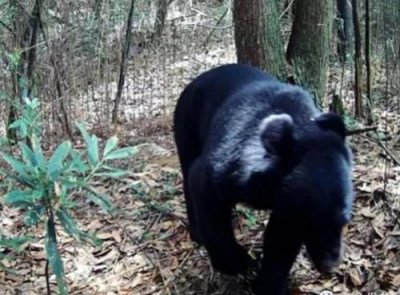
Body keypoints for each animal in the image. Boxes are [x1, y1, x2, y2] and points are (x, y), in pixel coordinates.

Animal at [173, 63, 354, 294]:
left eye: (344, 222)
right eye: (312, 222)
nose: (330, 265)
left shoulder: (289, 205)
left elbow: (281, 239)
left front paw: (269, 284)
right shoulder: (226, 167)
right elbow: (204, 188)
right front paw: (238, 263)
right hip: (186, 124)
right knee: (188, 172)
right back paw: (197, 234)